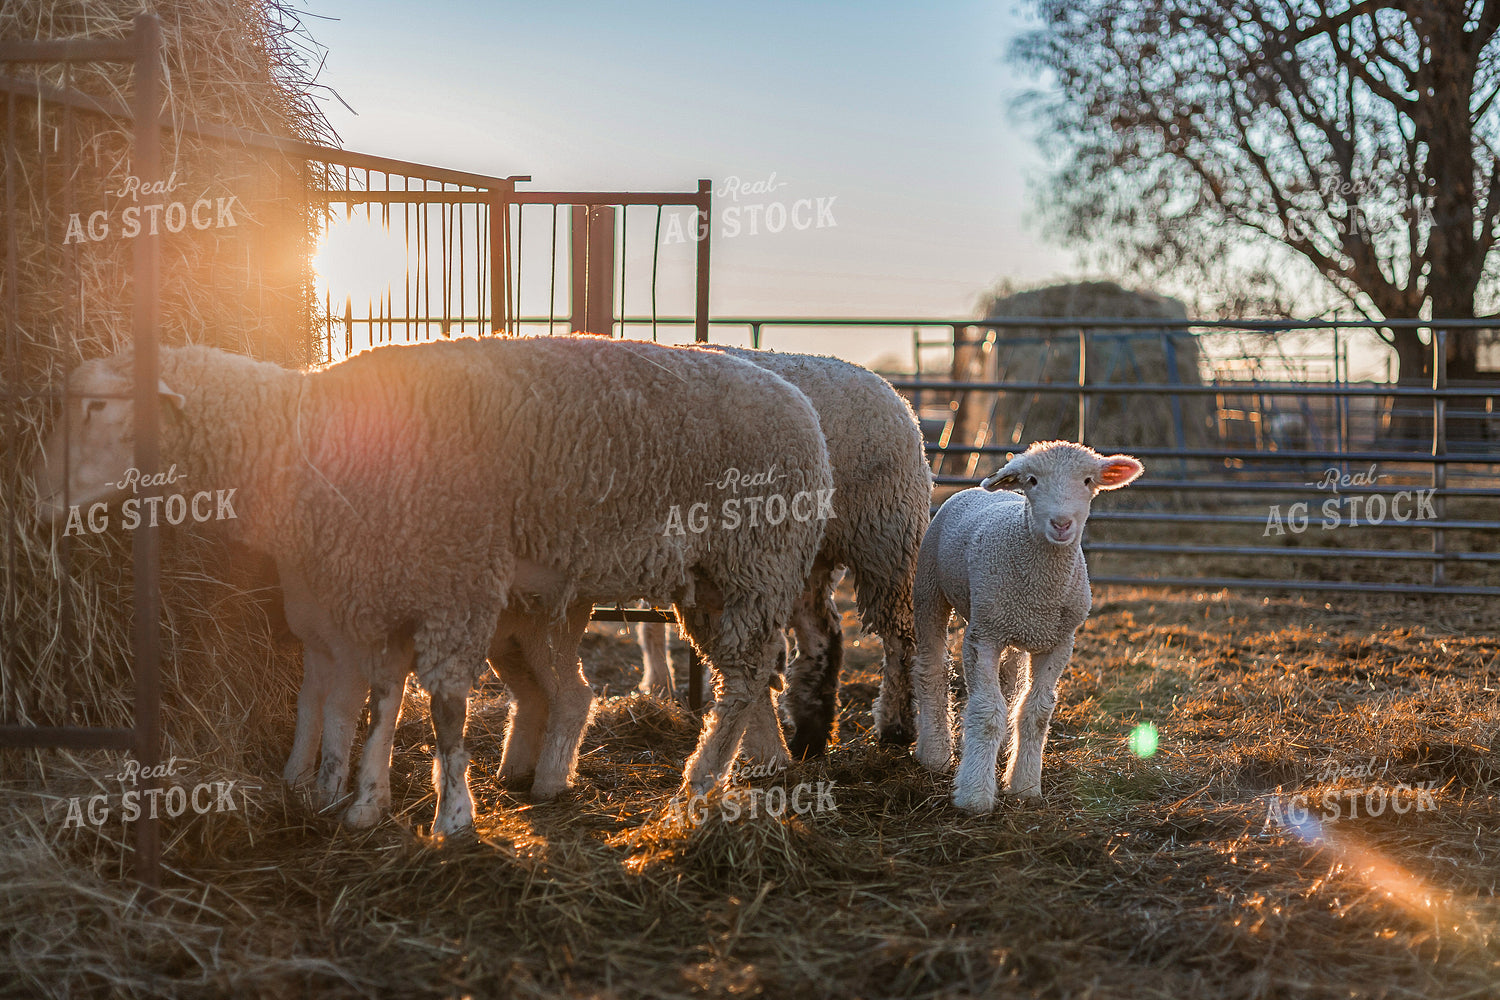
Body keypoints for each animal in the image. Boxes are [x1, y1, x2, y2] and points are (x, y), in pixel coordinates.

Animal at [35, 335, 832, 834]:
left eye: (101, 408)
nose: (43, 497)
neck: (303, 437)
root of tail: (800, 401)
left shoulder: (455, 580)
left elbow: (445, 707)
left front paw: (453, 817)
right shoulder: (383, 589)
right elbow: (379, 699)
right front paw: (362, 801)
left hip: (754, 559)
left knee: (741, 675)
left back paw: (696, 788)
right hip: (714, 581)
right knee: (738, 676)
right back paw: (733, 769)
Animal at [635, 344, 933, 758]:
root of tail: (896, 397)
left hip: (884, 538)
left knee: (899, 639)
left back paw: (895, 726)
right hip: (804, 551)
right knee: (822, 630)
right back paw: (810, 732)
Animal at [910, 440, 1142, 813]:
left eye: (1088, 480)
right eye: (1032, 480)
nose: (1061, 523)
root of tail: (975, 491)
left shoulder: (1059, 641)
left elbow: (1036, 713)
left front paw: (1024, 787)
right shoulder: (983, 635)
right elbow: (986, 711)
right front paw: (975, 795)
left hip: (1015, 631)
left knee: (1008, 684)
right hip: (930, 590)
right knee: (932, 670)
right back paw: (935, 753)